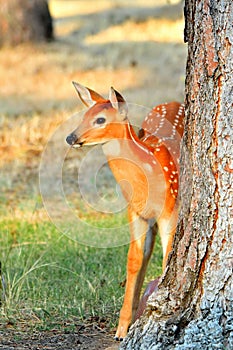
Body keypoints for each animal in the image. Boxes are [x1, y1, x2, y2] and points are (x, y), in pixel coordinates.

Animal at [65, 81, 184, 340]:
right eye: (84, 115)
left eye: (100, 119)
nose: (71, 137)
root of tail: (172, 101)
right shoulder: (135, 213)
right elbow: (134, 259)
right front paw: (122, 329)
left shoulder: (170, 209)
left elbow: (167, 257)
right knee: (146, 253)